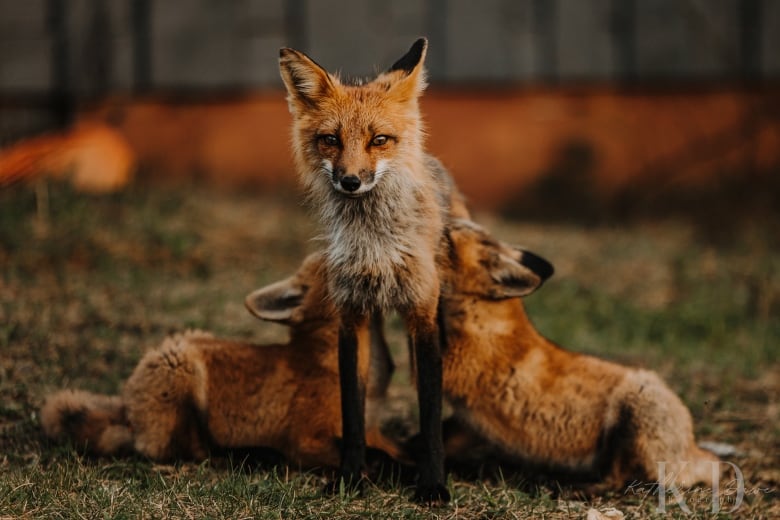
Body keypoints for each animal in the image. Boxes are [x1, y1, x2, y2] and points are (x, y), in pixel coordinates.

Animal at [39, 254, 406, 470]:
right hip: (182, 372)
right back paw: (247, 455)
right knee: (188, 449)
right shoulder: (306, 439)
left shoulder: (374, 431)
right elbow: (372, 459)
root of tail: (126, 404)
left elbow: (395, 449)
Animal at [278, 38, 450, 502]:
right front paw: (351, 476)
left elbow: (430, 409)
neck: (377, 250)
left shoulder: (422, 312)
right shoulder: (350, 314)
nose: (350, 181)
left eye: (379, 140)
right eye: (330, 140)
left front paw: (433, 483)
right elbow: (352, 409)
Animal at [438, 219, 720, 488]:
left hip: (634, 412)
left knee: (621, 479)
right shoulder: (467, 420)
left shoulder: (457, 371)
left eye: (448, 239)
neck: (482, 318)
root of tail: (692, 445)